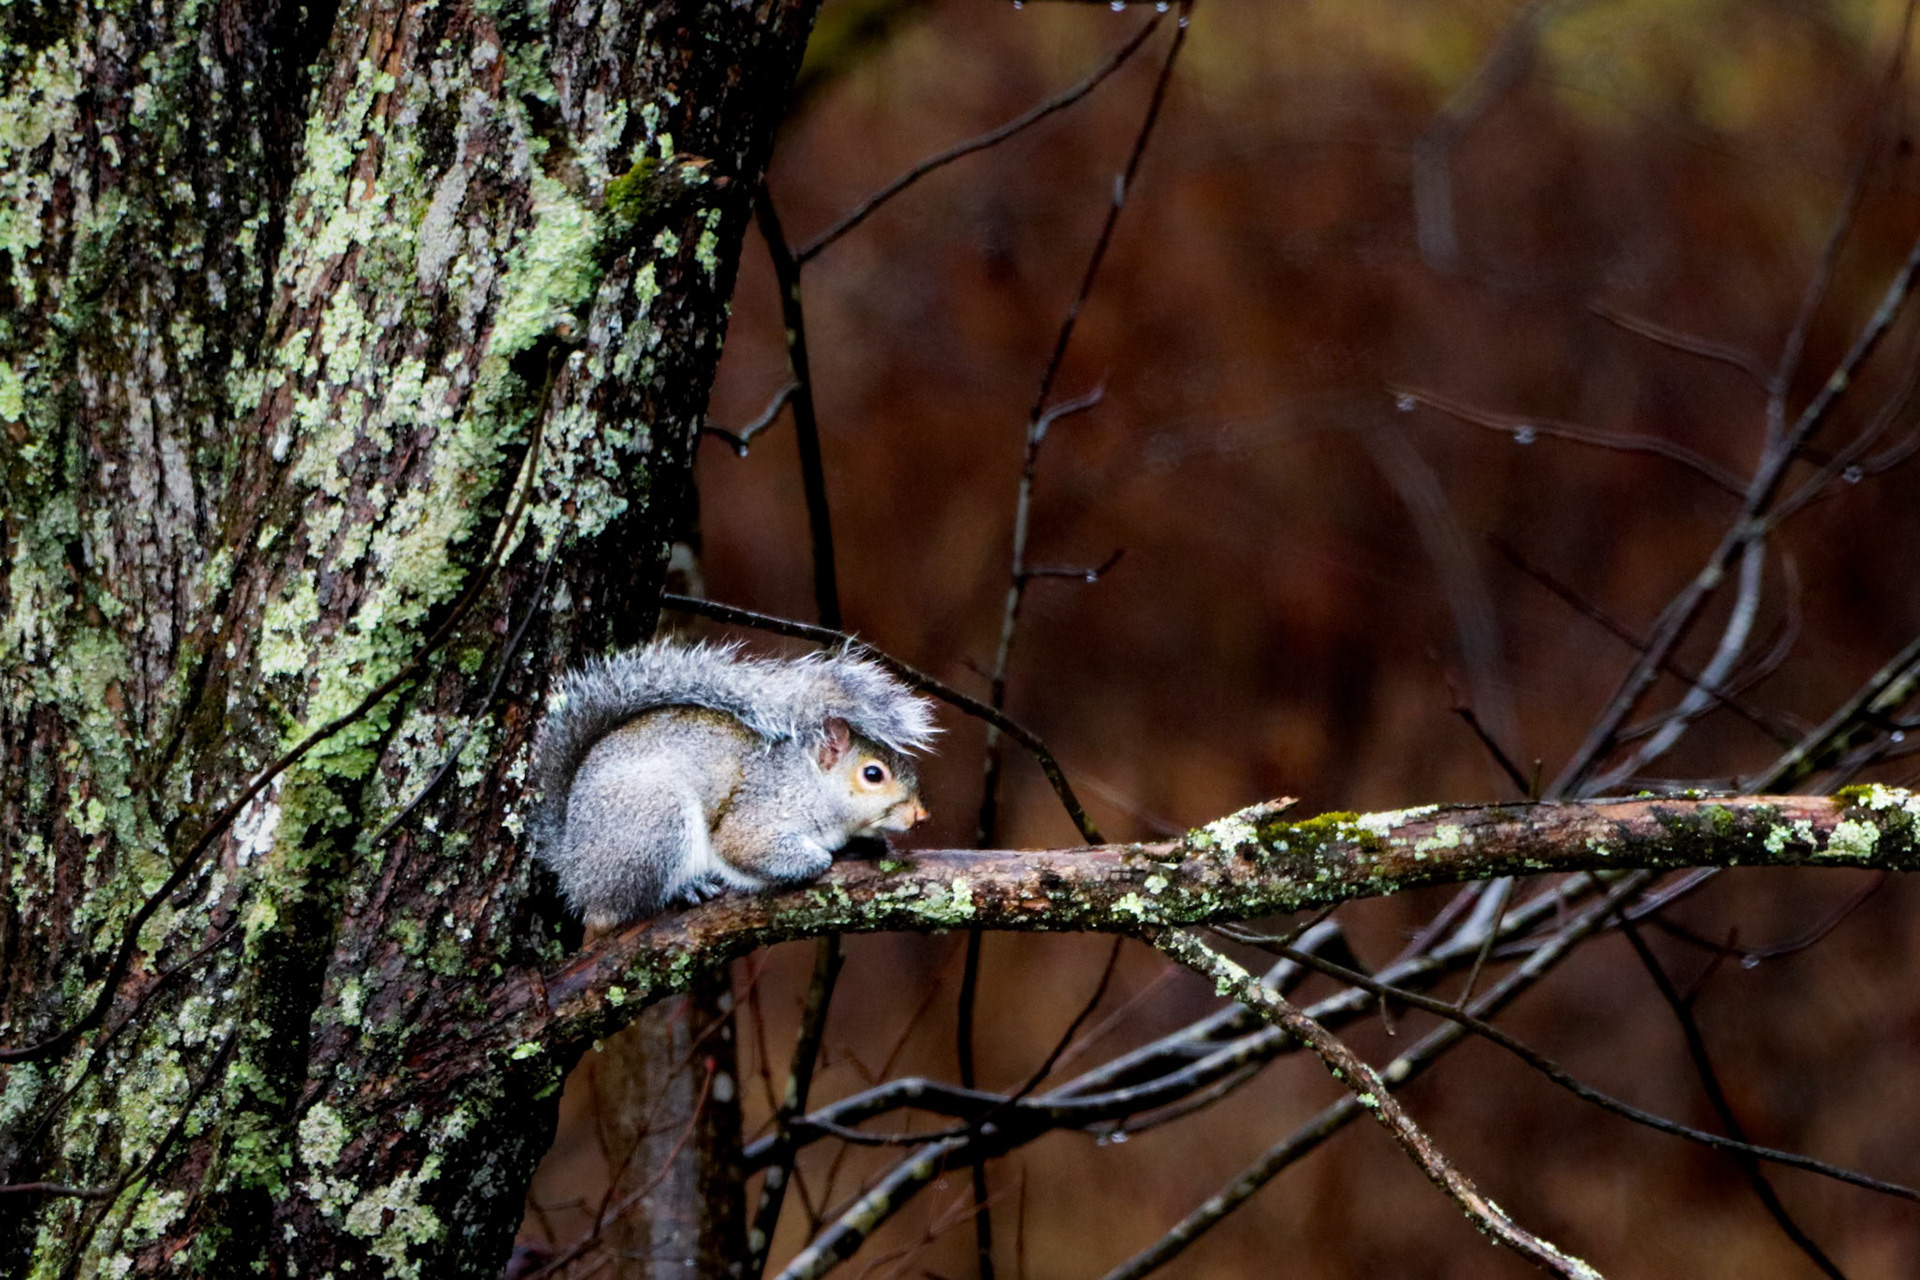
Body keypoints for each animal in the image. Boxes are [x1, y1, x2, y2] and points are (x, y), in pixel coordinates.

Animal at [529, 638, 939, 930]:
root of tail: (572, 866)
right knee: (620, 909)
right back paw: (685, 887)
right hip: (654, 823)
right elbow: (743, 847)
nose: (920, 815)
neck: (810, 784)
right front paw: (817, 859)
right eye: (873, 774)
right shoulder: (757, 815)